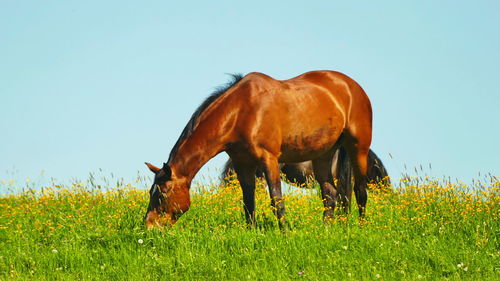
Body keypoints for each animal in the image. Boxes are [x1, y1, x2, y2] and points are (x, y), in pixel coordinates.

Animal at [144, 70, 372, 228]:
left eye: (162, 194)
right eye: (150, 192)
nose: (149, 227)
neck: (241, 112)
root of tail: (351, 86)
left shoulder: (269, 159)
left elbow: (276, 200)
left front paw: (285, 233)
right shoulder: (242, 163)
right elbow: (248, 202)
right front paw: (252, 231)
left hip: (358, 148)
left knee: (360, 190)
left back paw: (361, 227)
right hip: (323, 154)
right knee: (330, 193)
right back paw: (326, 229)